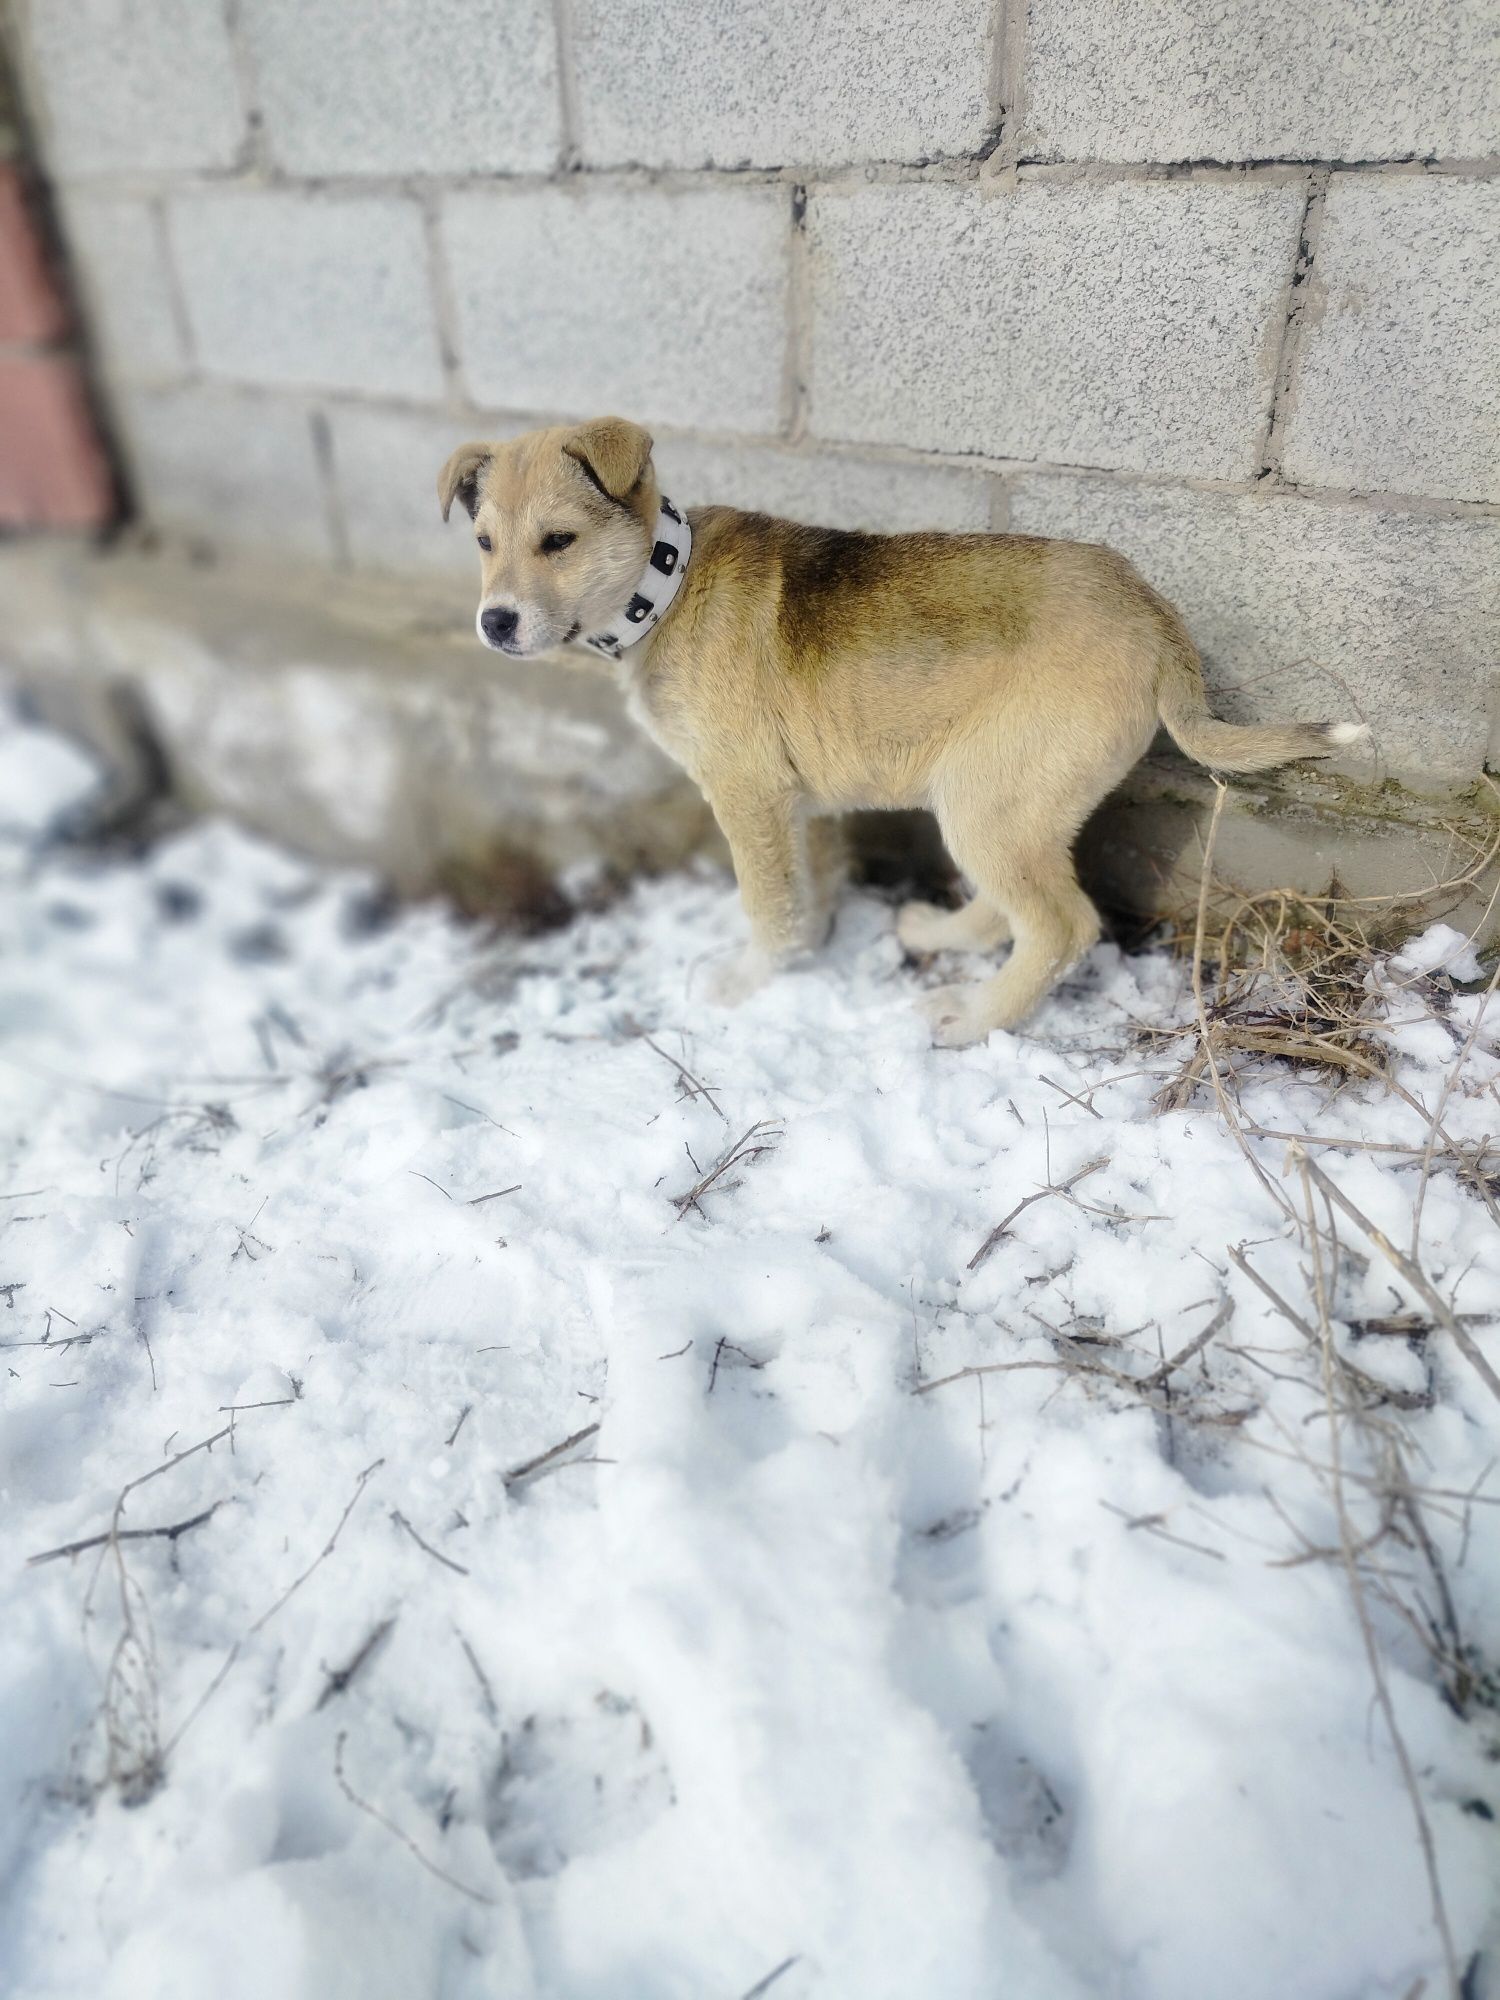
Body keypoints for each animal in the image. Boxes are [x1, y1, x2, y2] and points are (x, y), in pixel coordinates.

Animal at [440, 420, 1368, 1048]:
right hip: (1004, 795)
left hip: (987, 794)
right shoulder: (790, 805)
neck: (662, 590)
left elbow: (765, 904)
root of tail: (1156, 616)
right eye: (482, 541)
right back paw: (938, 938)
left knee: (1063, 925)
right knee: (1013, 907)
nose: (494, 624)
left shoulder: (746, 793)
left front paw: (749, 983)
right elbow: (803, 893)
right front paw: (806, 955)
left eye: (558, 541)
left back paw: (971, 1019)